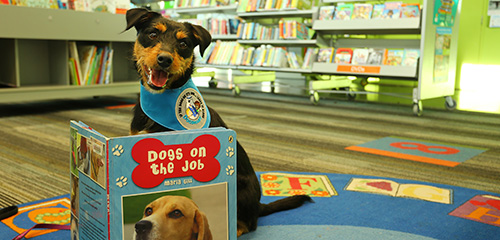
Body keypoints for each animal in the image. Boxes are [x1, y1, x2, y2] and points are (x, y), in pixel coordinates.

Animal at [124, 7, 312, 236]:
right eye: (152, 34)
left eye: (183, 44)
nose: (164, 59)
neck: (160, 101)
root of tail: (258, 205)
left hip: (240, 189)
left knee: (248, 224)